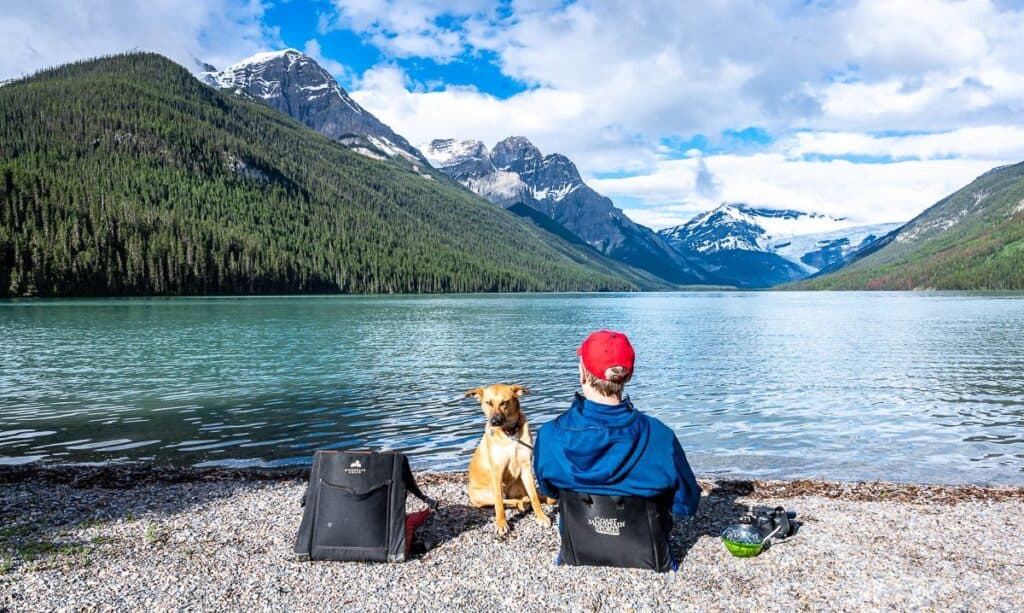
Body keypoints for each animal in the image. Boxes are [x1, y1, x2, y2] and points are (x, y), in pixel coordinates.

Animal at [466, 386, 557, 536]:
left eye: (504, 402)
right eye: (488, 403)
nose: (494, 421)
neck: (510, 434)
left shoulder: (526, 468)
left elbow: (534, 496)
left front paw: (541, 516)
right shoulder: (497, 471)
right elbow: (499, 502)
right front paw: (501, 523)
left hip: (520, 484)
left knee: (524, 497)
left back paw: (525, 501)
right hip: (481, 497)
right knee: (503, 500)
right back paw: (521, 503)